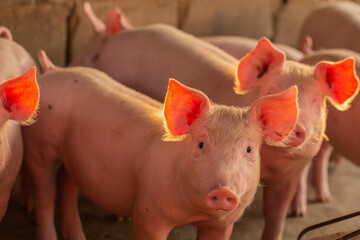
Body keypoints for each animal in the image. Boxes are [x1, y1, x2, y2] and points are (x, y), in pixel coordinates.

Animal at [21, 49, 300, 239]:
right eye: (201, 144)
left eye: (249, 149)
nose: (223, 191)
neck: (192, 212)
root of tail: (53, 69)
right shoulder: (148, 211)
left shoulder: (223, 224)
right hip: (38, 143)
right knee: (45, 191)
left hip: (74, 156)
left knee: (65, 180)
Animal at [73, 3, 360, 240]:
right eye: (271, 90)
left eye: (315, 101)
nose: (296, 128)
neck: (274, 165)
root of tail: (123, 34)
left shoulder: (289, 175)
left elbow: (276, 216)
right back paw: (121, 217)